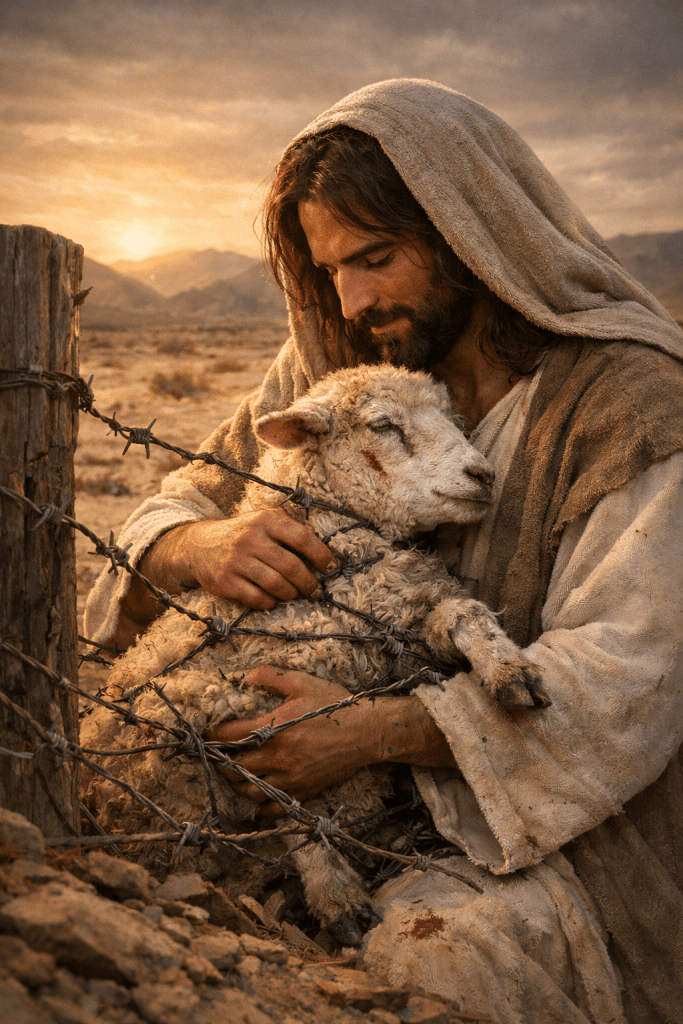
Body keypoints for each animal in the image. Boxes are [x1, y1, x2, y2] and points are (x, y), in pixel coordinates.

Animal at [81, 364, 548, 945]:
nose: (482, 475)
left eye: (452, 417)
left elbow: (467, 614)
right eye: (383, 424)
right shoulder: (239, 708)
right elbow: (295, 813)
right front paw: (336, 893)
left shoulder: (404, 628)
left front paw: (509, 669)